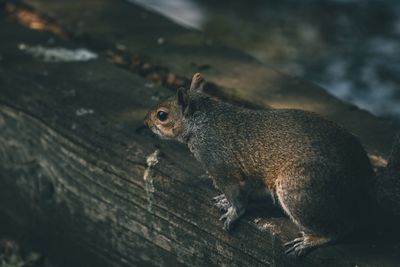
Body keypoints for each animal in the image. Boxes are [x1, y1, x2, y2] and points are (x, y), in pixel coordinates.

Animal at [144, 73, 400, 258]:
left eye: (162, 115)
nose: (145, 122)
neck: (204, 121)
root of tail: (365, 191)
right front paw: (224, 201)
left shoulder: (220, 165)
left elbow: (237, 197)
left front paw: (232, 213)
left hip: (299, 190)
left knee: (339, 229)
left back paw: (310, 241)